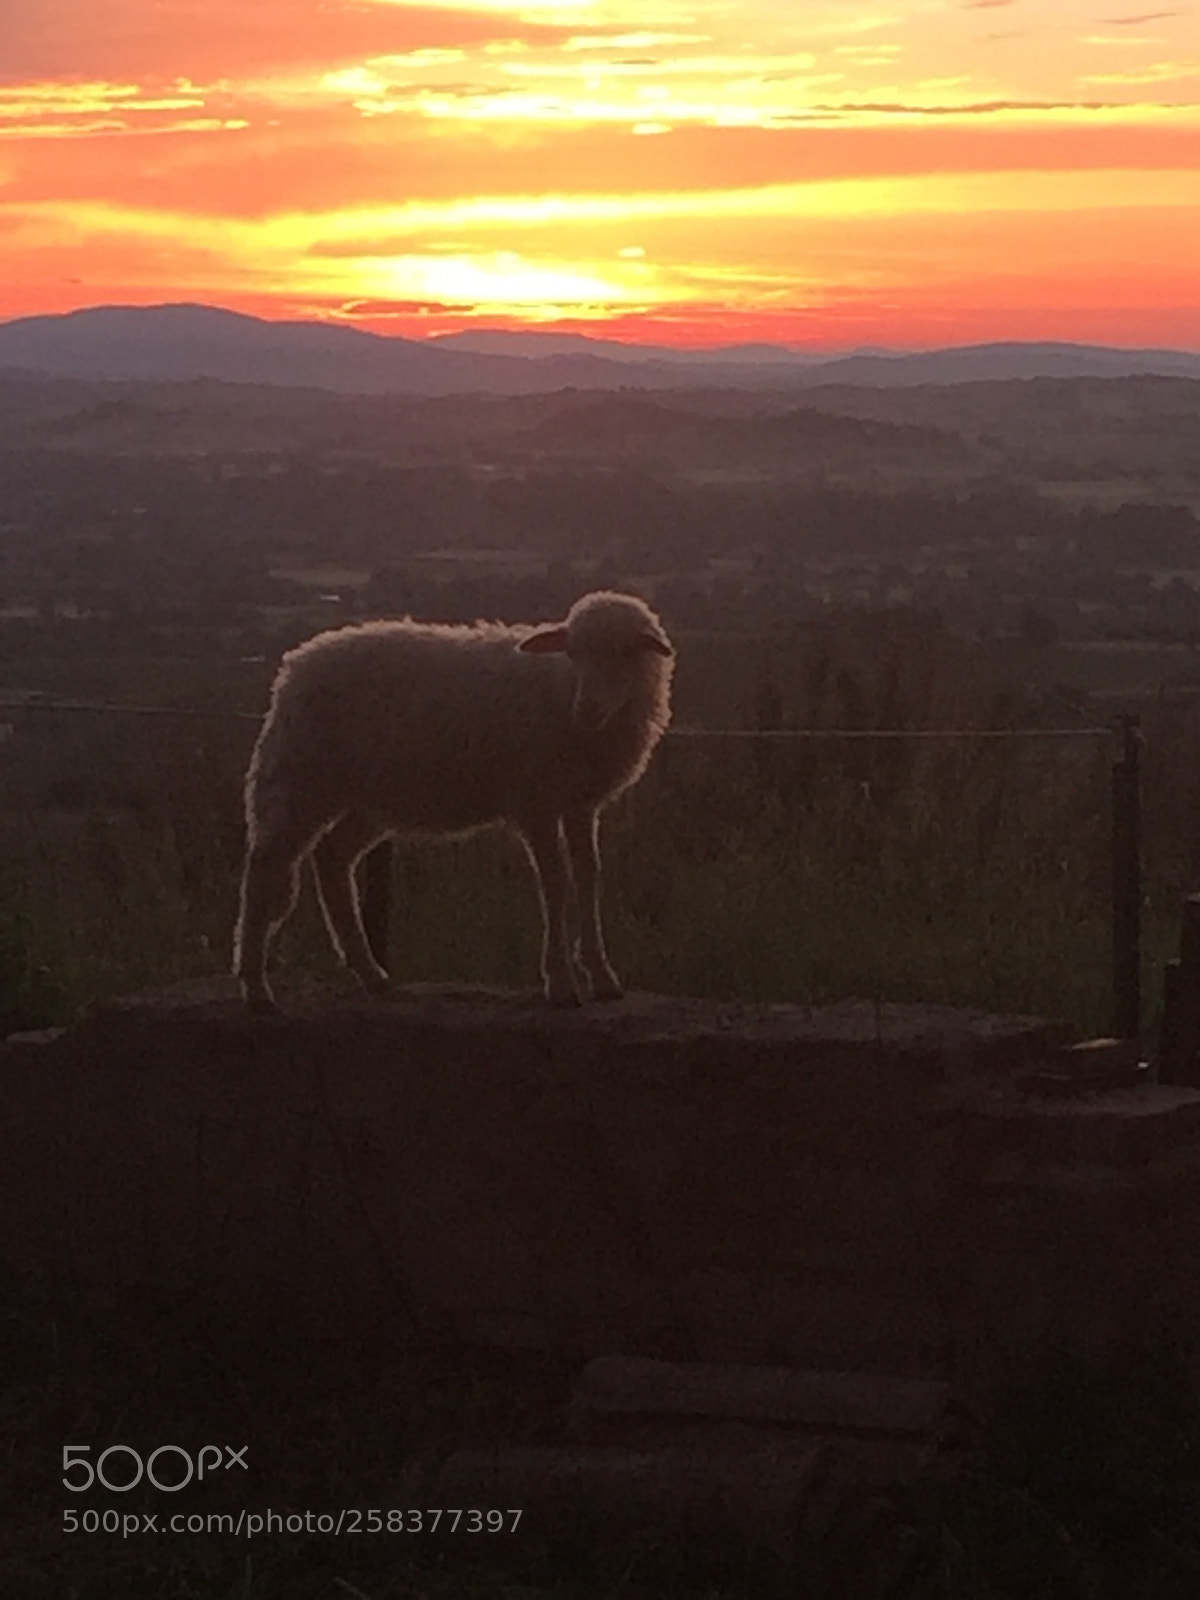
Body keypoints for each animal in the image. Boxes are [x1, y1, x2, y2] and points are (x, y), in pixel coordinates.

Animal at [233, 590, 674, 1011]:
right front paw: (561, 982)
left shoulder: (580, 803)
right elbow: (555, 882)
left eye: (626, 652)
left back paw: (371, 973)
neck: (562, 688)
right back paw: (256, 986)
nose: (586, 709)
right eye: (573, 653)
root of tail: (296, 662)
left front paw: (602, 976)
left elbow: (587, 876)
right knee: (264, 869)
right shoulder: (537, 802)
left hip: (369, 798)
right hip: (298, 775)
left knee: (332, 858)